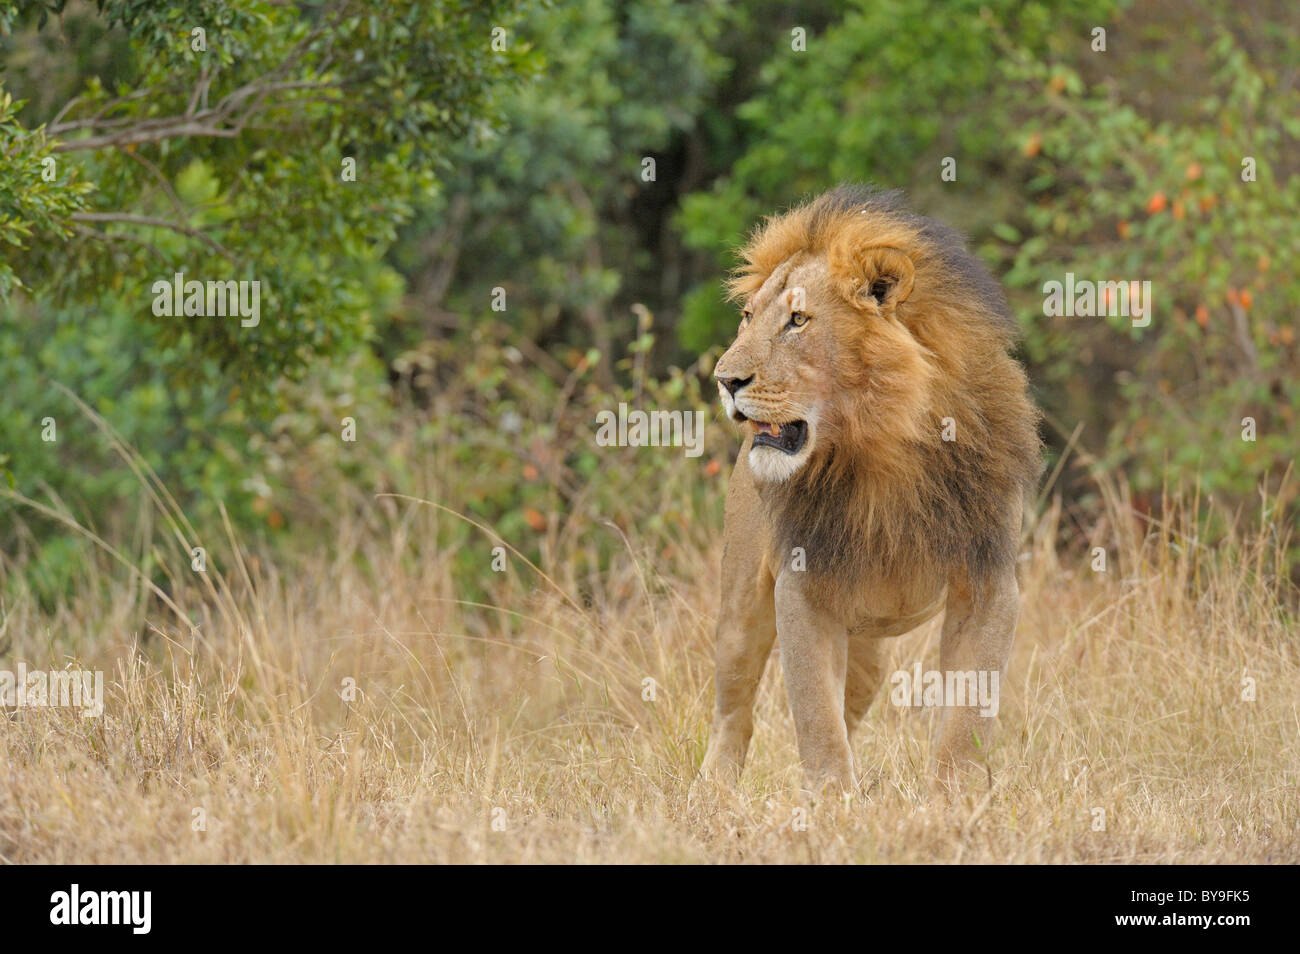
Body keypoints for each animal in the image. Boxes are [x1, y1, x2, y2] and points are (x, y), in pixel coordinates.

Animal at [700, 184, 1041, 792]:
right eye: (747, 317)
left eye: (797, 320)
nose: (724, 379)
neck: (883, 449)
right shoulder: (803, 585)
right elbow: (815, 716)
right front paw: (830, 800)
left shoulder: (988, 581)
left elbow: (965, 715)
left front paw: (953, 798)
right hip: (741, 603)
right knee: (733, 708)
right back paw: (712, 790)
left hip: (868, 649)